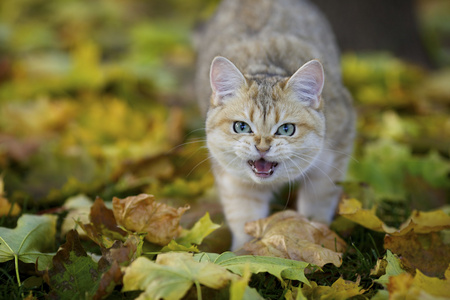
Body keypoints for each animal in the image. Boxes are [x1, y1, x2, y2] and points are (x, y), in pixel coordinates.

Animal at [195, 0, 356, 250]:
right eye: (241, 127)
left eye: (286, 129)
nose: (262, 147)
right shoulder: (234, 181)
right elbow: (243, 216)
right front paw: (243, 253)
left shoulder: (335, 152)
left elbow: (319, 199)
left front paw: (317, 236)